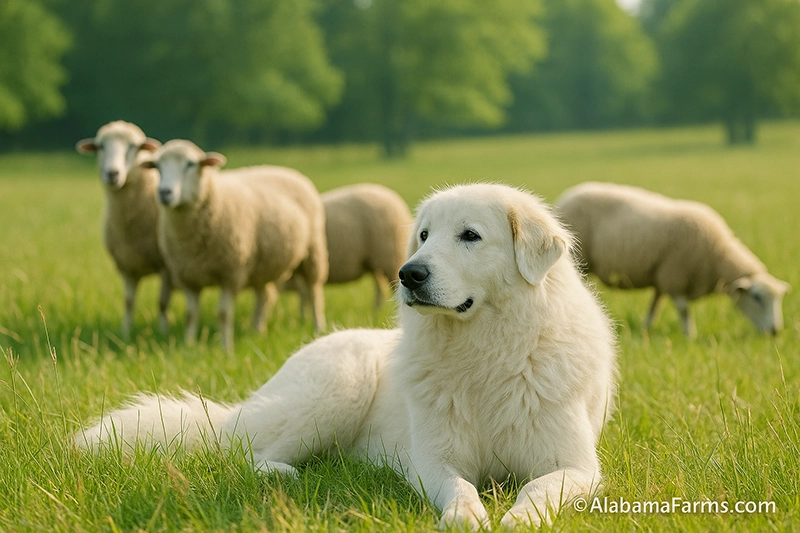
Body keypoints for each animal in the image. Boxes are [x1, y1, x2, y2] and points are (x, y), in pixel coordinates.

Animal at [76, 121, 172, 338]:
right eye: (101, 146)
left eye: (133, 147)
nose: (112, 174)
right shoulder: (126, 266)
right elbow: (128, 302)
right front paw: (125, 333)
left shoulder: (166, 266)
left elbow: (162, 303)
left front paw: (163, 333)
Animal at [143, 139, 328, 351]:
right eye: (157, 166)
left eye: (190, 164)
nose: (164, 193)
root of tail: (289, 171)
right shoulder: (188, 277)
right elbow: (191, 315)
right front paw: (189, 345)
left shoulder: (231, 273)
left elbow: (223, 314)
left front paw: (226, 348)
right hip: (262, 266)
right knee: (264, 296)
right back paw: (257, 330)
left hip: (313, 252)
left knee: (314, 291)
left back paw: (318, 327)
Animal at [555, 181, 790, 336]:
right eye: (757, 298)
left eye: (779, 299)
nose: (775, 331)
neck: (718, 255)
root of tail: (565, 197)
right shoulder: (674, 276)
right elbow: (684, 310)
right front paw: (690, 336)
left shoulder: (662, 278)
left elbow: (655, 306)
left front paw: (646, 328)